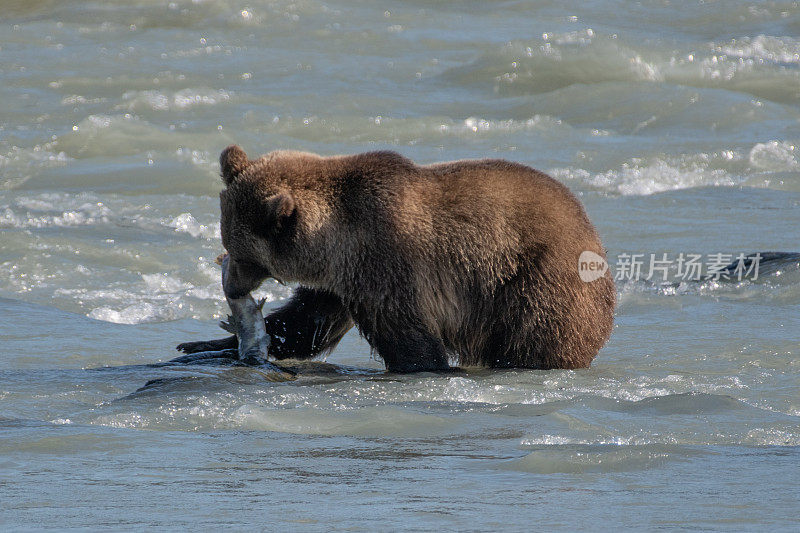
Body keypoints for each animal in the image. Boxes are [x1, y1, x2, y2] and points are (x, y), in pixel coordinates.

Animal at [178, 144, 616, 370]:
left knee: (534, 335)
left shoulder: (386, 263)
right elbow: (309, 320)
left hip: (534, 281)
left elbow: (407, 337)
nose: (233, 286)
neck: (335, 238)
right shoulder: (342, 277)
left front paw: (426, 365)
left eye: (241, 253)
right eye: (227, 240)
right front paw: (204, 344)